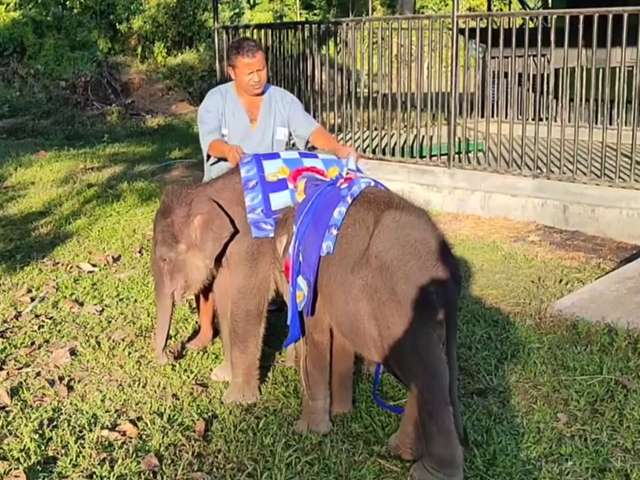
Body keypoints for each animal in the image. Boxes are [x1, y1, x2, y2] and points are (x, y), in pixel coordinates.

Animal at [270, 186, 465, 480]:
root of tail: (448, 266)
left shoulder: (312, 281)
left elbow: (317, 337)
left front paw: (309, 431)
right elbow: (340, 336)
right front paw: (342, 413)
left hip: (404, 310)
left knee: (426, 376)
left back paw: (427, 472)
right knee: (426, 372)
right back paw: (401, 451)